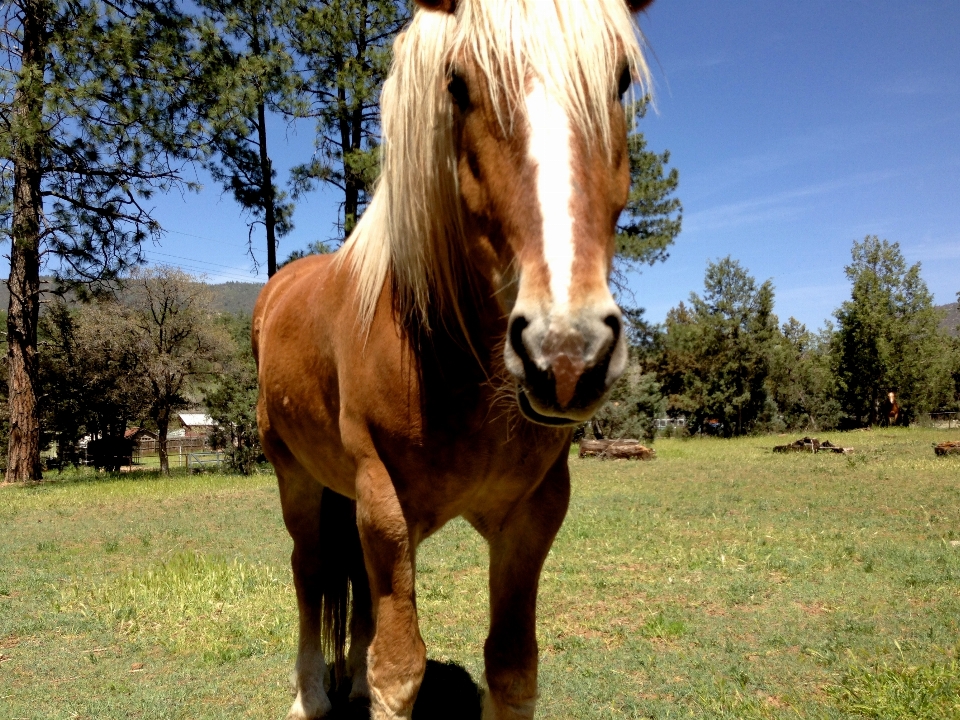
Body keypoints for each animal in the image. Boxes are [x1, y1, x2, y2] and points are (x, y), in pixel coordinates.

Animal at [251, 1, 652, 716]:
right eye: (458, 84)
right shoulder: (382, 500)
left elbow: (512, 668)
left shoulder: (533, 513)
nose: (566, 350)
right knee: (310, 573)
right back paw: (311, 697)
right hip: (295, 477)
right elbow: (399, 668)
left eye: (622, 79)